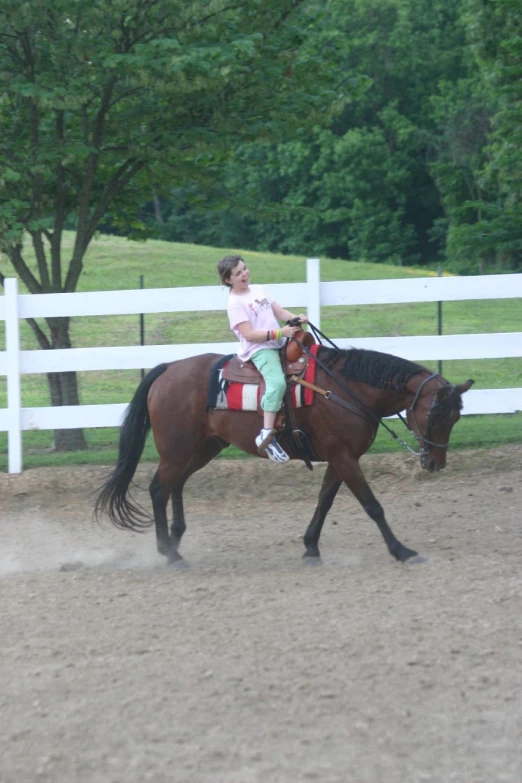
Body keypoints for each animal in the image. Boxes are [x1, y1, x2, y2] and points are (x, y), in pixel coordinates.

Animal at [92, 348, 472, 564]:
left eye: (457, 417)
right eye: (436, 415)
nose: (435, 463)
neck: (346, 389)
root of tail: (168, 368)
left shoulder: (340, 457)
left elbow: (324, 501)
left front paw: (311, 546)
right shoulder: (344, 457)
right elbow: (372, 505)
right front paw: (400, 550)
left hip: (204, 447)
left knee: (176, 485)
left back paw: (176, 536)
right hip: (177, 450)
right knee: (159, 488)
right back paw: (169, 553)